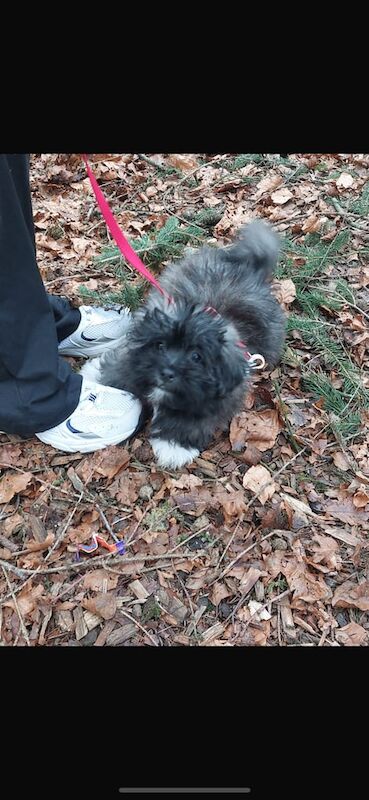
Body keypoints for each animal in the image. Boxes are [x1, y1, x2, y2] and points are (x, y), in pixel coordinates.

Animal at [81, 219, 284, 468]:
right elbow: (122, 370)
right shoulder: (138, 357)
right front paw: (95, 375)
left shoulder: (210, 399)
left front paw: (174, 445)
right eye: (160, 345)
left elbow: (189, 419)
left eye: (196, 357)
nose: (167, 373)